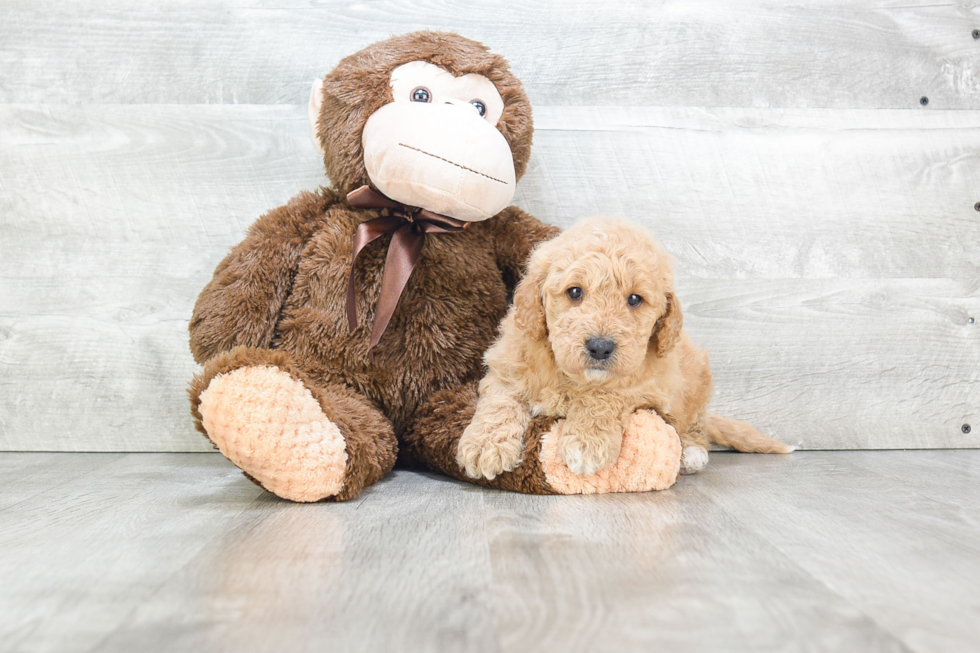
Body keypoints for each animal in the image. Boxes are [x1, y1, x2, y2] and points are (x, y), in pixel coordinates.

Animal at [456, 216, 792, 476]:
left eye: (634, 299)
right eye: (575, 292)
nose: (600, 347)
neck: (572, 377)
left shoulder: (648, 385)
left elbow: (604, 396)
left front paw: (587, 443)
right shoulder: (509, 364)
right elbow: (501, 401)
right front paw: (484, 445)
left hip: (697, 380)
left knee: (695, 425)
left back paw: (692, 453)